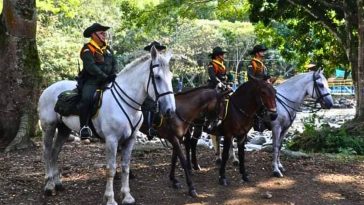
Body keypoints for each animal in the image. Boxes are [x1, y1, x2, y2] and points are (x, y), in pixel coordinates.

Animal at [39, 46, 176, 205]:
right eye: (158, 77)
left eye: (171, 77)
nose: (170, 110)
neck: (126, 103)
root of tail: (48, 89)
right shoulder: (111, 140)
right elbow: (111, 169)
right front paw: (110, 198)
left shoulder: (130, 139)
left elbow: (125, 167)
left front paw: (127, 196)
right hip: (49, 128)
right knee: (47, 152)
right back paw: (49, 185)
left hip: (63, 130)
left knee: (55, 152)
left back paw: (58, 183)